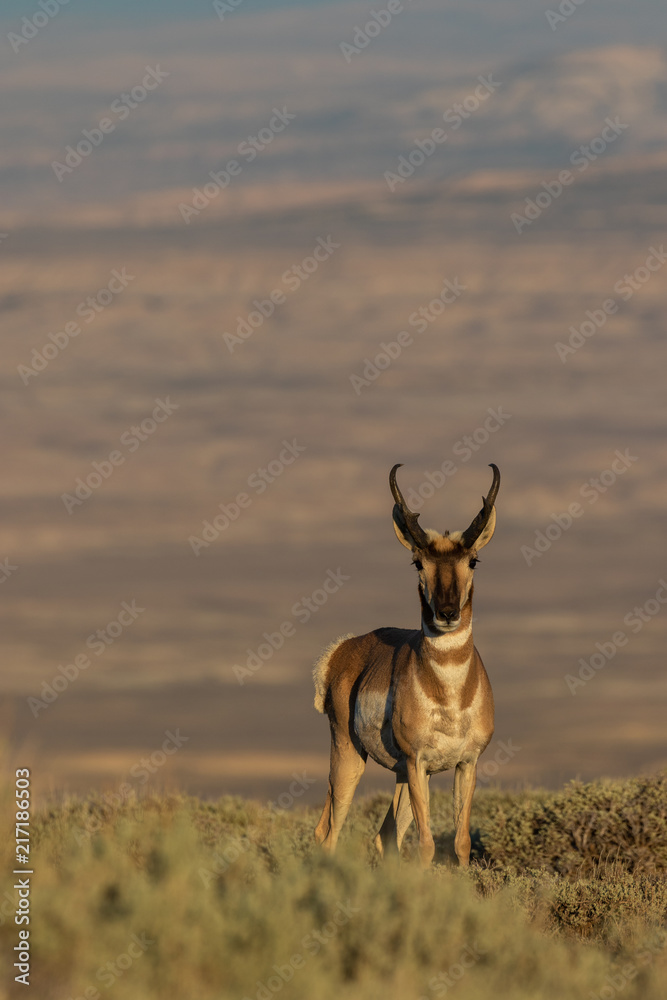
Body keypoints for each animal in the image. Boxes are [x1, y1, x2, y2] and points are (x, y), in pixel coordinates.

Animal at [313, 463, 499, 867]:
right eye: (418, 561)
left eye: (473, 560)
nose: (447, 613)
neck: (449, 696)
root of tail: (344, 649)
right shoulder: (417, 763)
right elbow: (427, 845)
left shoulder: (465, 764)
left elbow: (461, 842)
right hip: (350, 755)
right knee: (328, 832)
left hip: (400, 774)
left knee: (384, 835)